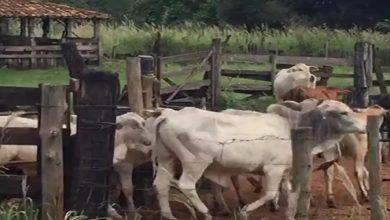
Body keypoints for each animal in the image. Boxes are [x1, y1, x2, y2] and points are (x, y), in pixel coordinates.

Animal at [147, 106, 366, 218]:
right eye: (343, 113)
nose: (364, 127)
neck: (293, 128)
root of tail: (169, 114)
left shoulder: (284, 172)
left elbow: (289, 194)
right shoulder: (273, 169)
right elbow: (269, 194)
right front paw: (245, 210)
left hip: (166, 159)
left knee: (161, 185)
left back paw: (168, 215)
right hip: (195, 162)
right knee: (186, 185)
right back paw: (206, 212)